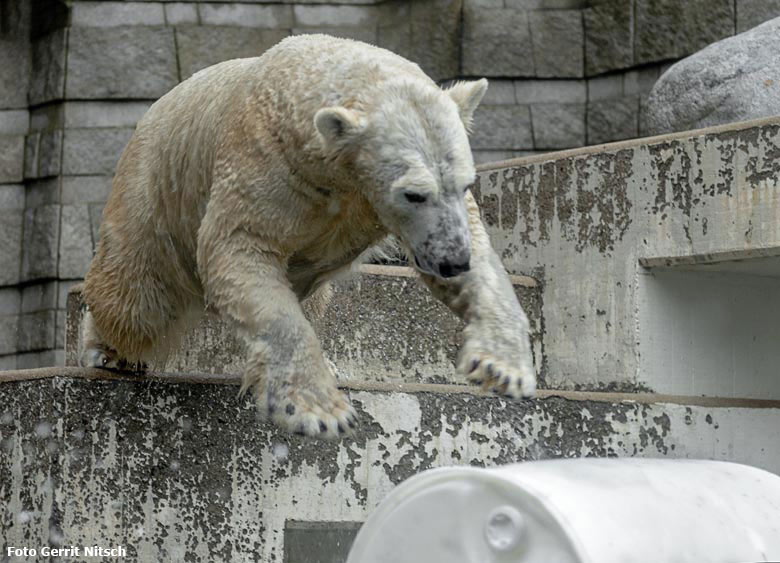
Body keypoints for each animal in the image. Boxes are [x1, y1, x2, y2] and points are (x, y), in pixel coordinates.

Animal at [80, 35, 536, 438]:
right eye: (413, 193)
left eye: (465, 182)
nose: (452, 261)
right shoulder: (265, 165)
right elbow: (238, 249)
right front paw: (319, 411)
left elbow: (475, 239)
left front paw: (503, 365)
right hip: (156, 191)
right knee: (135, 299)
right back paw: (104, 349)